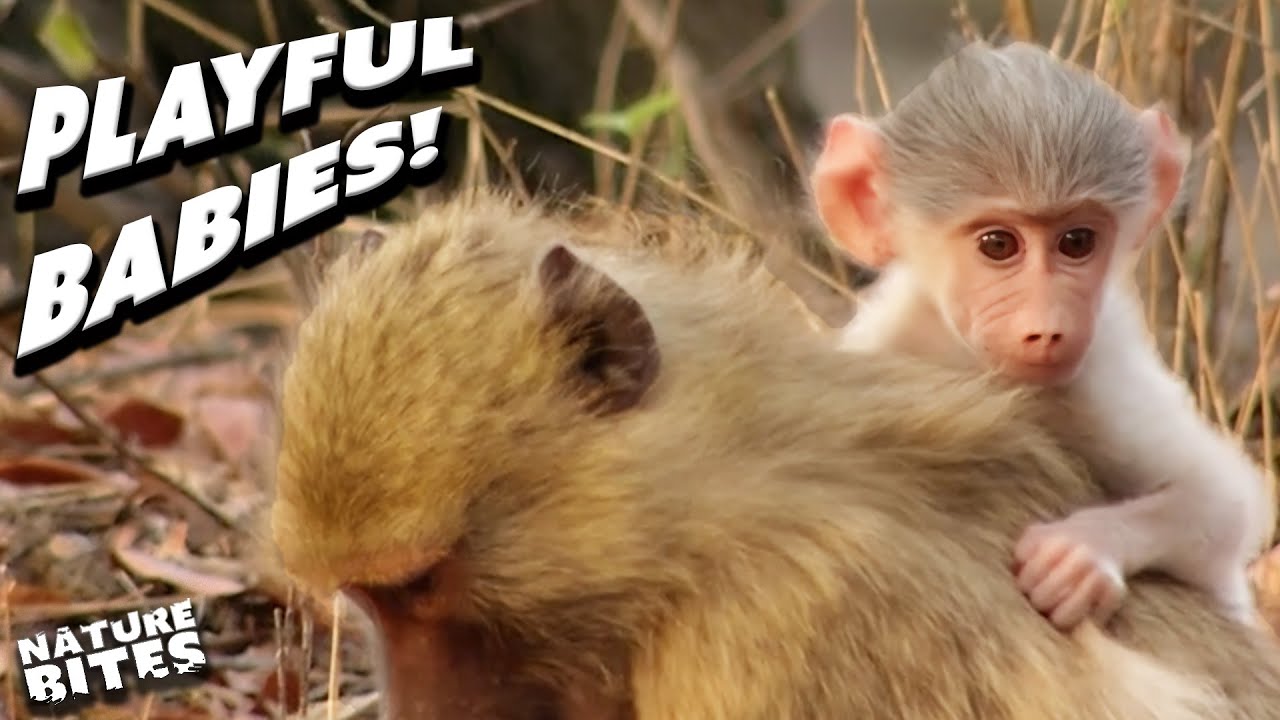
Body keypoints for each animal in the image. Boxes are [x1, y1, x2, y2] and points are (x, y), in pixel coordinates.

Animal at [809, 40, 1274, 632]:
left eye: (1076, 242)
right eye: (998, 245)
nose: (1049, 327)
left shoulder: (1096, 375)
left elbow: (1222, 500)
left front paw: (1085, 553)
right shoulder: (883, 349)